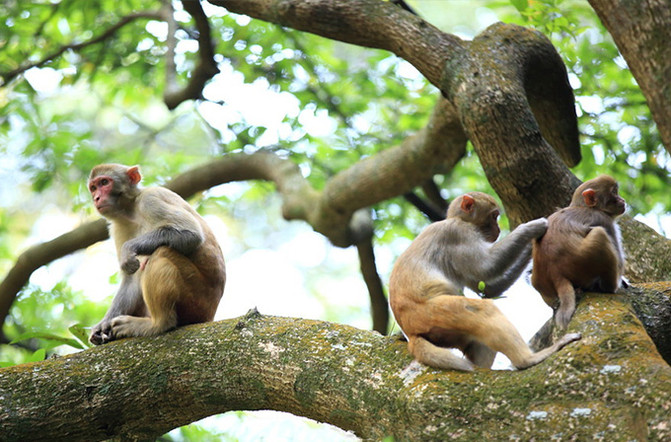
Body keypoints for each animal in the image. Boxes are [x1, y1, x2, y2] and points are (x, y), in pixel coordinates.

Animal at [87, 164, 226, 344]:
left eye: (104, 182)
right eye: (93, 188)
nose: (96, 198)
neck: (131, 210)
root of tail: (210, 314)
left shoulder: (150, 200)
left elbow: (192, 233)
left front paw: (128, 248)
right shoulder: (118, 226)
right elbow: (131, 279)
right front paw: (102, 325)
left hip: (197, 301)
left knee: (161, 252)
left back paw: (158, 324)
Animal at [388, 192, 584, 372]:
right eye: (494, 216)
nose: (498, 229)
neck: (458, 219)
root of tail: (411, 332)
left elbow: (489, 288)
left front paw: (531, 249)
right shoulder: (459, 233)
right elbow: (487, 266)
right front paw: (532, 228)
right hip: (434, 312)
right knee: (483, 309)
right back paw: (527, 360)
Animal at [532, 174, 628, 330]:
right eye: (614, 192)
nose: (622, 200)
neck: (583, 206)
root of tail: (556, 274)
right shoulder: (604, 220)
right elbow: (619, 260)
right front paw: (622, 281)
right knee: (599, 234)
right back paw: (611, 287)